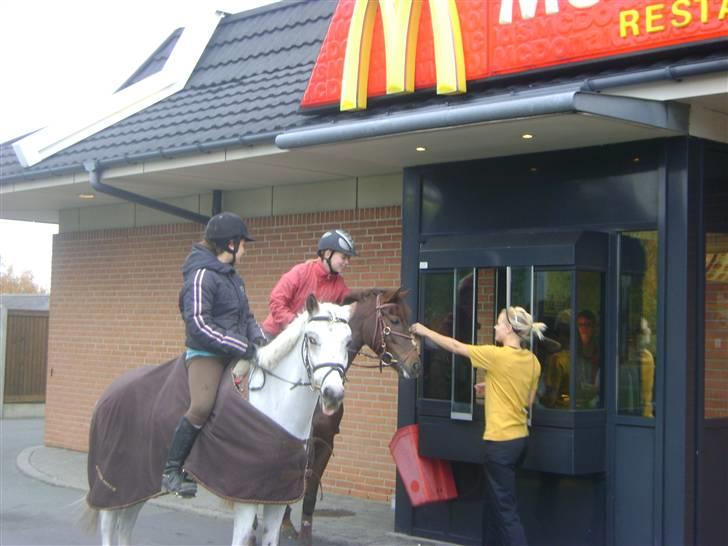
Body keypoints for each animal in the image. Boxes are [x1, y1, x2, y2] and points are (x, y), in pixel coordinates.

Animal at [85, 294, 352, 544]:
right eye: (312, 339)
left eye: (347, 342)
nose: (333, 394)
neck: (272, 406)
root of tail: (109, 393)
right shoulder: (246, 500)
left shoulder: (275, 500)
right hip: (114, 484)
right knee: (109, 527)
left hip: (139, 484)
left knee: (125, 526)